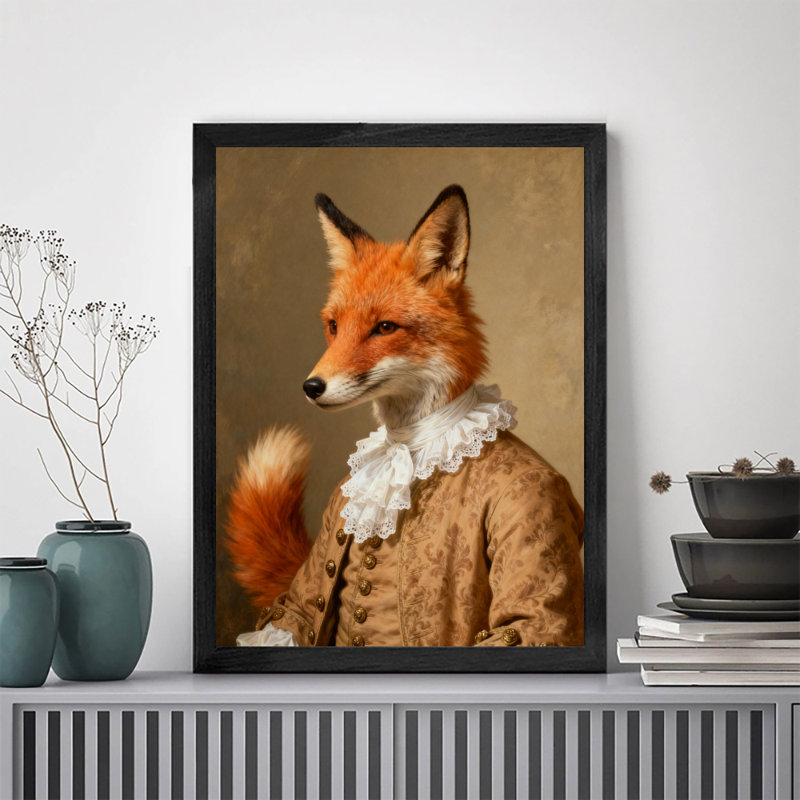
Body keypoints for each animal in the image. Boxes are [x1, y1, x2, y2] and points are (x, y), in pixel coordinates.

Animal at [226, 185, 584, 647]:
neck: (414, 444)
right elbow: (295, 612)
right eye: (333, 326)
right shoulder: (300, 600)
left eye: (384, 328)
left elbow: (527, 619)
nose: (311, 387)